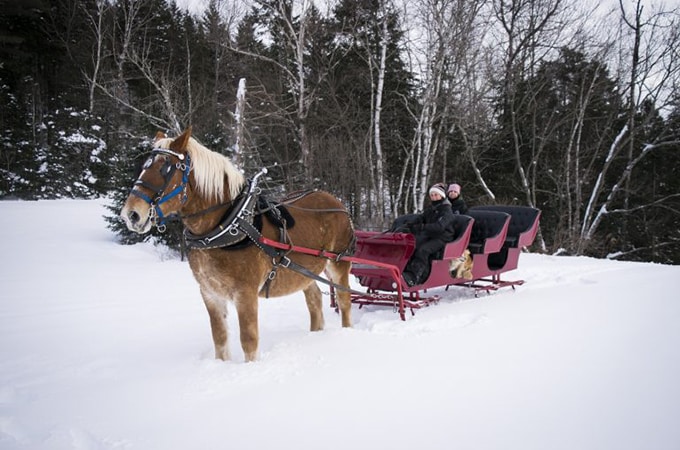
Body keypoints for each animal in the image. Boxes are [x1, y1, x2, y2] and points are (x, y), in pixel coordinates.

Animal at [121, 127, 356, 362]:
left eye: (165, 169)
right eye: (143, 167)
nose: (131, 214)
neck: (228, 225)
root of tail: (337, 203)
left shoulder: (246, 293)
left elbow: (249, 340)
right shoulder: (210, 293)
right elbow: (220, 338)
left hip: (338, 263)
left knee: (344, 300)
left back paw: (346, 333)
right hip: (304, 271)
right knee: (314, 300)